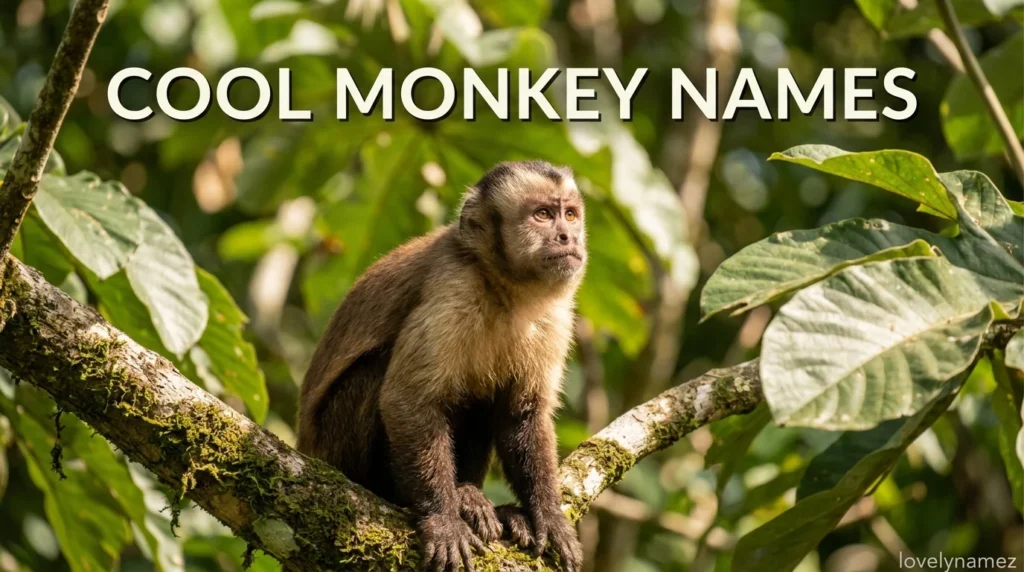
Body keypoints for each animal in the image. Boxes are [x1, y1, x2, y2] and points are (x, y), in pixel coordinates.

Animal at [297, 160, 587, 572]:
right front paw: (443, 520)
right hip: (335, 451)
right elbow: (407, 401)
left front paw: (547, 515)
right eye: (543, 215)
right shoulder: (453, 289)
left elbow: (522, 414)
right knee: (378, 372)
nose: (567, 236)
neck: (503, 289)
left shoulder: (555, 317)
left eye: (571, 215)